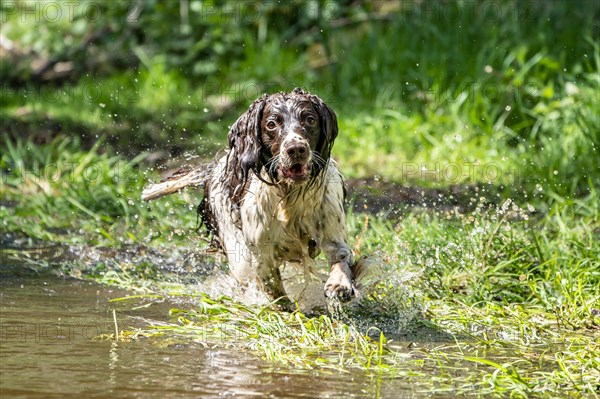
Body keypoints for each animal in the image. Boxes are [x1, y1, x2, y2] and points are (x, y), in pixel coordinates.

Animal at [199, 89, 358, 310]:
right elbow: (275, 291)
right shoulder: (262, 257)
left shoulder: (332, 233)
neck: (290, 196)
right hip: (238, 257)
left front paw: (339, 285)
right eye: (271, 124)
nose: (296, 149)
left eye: (310, 120)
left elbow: (340, 259)